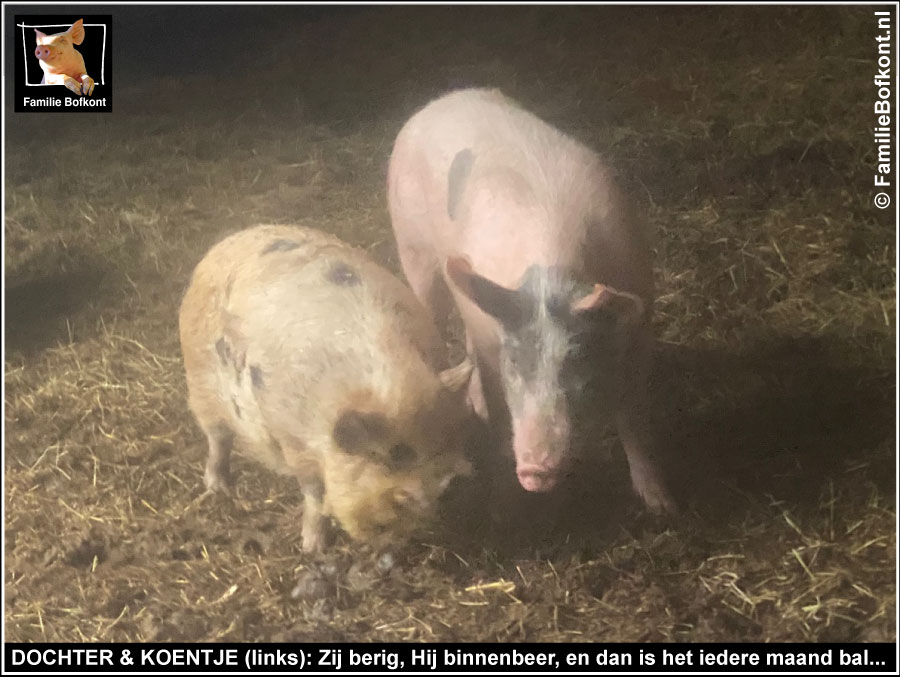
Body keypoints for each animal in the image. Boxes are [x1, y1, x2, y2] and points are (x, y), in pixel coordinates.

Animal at [386, 88, 676, 512]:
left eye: (575, 359)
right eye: (514, 361)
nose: (534, 471)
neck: (550, 277)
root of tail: (437, 103)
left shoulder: (640, 328)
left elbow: (633, 414)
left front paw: (661, 504)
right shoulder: (495, 344)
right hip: (413, 251)